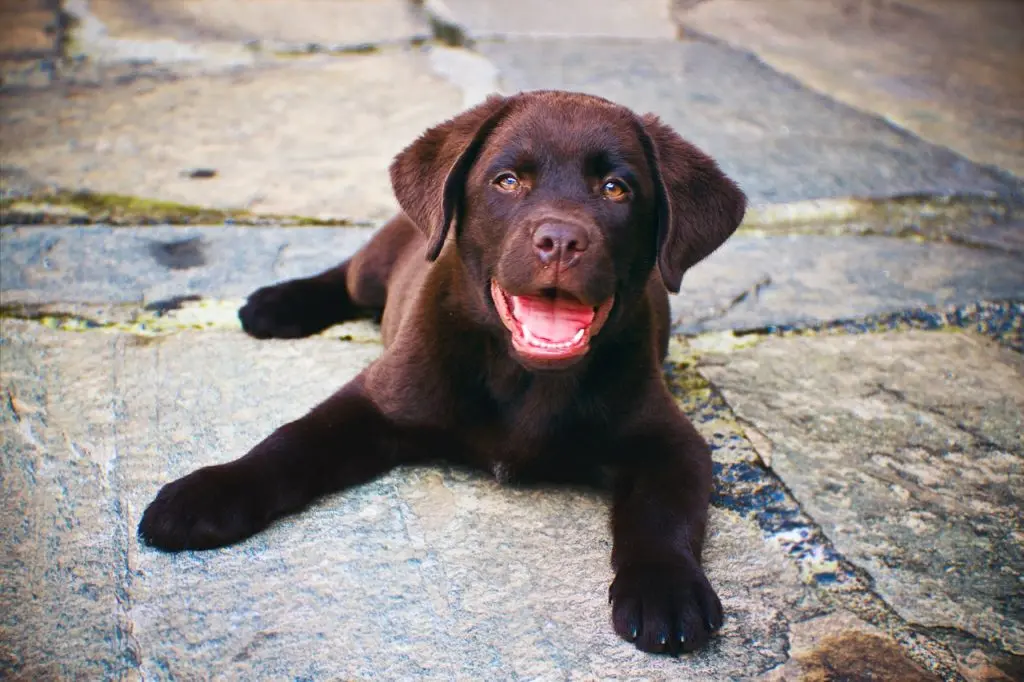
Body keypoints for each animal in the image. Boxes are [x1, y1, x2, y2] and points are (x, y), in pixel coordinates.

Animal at [138, 90, 745, 655]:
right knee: (346, 275)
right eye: (507, 181)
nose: (560, 241)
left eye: (616, 189)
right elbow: (290, 443)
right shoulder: (376, 399)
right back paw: (276, 305)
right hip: (377, 265)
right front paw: (208, 492)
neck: (527, 378)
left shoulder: (671, 440)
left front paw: (667, 589)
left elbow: (663, 512)